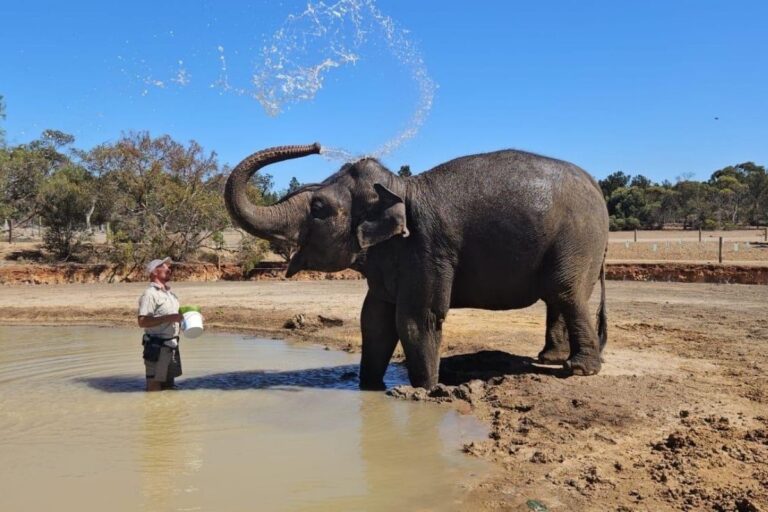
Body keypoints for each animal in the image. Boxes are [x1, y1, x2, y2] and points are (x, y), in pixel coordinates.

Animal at [225, 143, 609, 390]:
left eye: (318, 208)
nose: (317, 145)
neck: (400, 188)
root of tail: (595, 184)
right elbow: (374, 320)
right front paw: (369, 388)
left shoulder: (427, 247)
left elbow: (416, 319)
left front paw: (426, 391)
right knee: (557, 296)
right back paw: (550, 357)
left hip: (578, 239)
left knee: (565, 291)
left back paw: (579, 370)